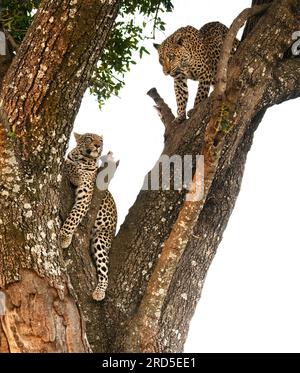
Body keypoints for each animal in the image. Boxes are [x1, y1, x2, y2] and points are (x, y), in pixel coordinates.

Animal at [59, 132, 117, 300]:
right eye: (89, 138)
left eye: (101, 140)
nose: (98, 145)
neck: (81, 158)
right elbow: (68, 163)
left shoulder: (85, 193)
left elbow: (74, 216)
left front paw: (64, 238)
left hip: (101, 239)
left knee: (104, 270)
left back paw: (99, 292)